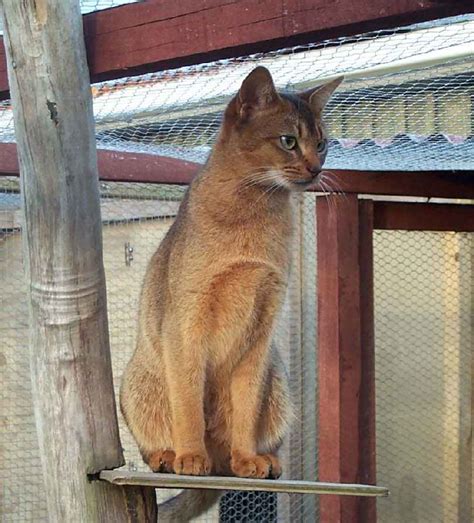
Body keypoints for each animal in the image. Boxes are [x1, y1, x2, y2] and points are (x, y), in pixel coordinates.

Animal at [120, 65, 342, 520]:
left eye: (322, 143)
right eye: (288, 141)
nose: (315, 169)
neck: (253, 216)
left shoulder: (261, 330)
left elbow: (246, 406)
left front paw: (247, 459)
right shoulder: (186, 323)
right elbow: (188, 402)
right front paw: (190, 455)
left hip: (278, 382)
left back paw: (260, 461)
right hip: (138, 377)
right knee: (155, 441)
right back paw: (169, 457)